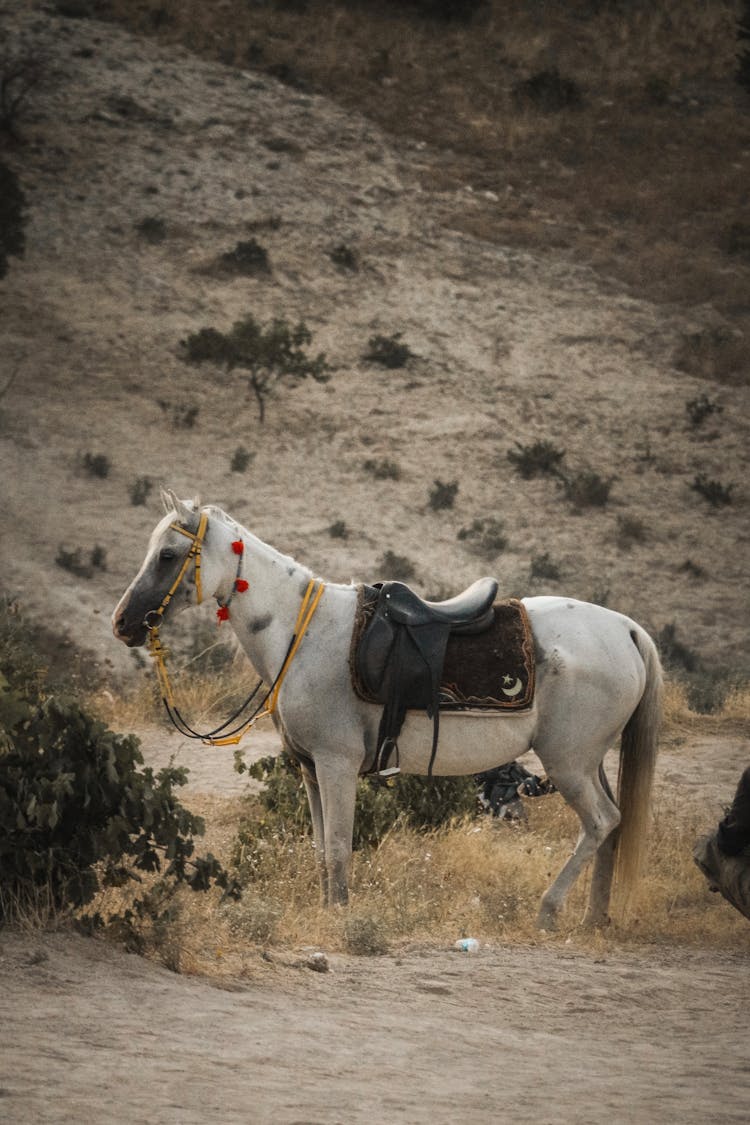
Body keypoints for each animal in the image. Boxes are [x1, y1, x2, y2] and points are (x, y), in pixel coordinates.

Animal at [113, 492, 661, 931]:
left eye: (167, 554)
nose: (123, 624)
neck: (301, 633)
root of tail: (626, 629)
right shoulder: (310, 770)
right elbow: (320, 850)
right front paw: (327, 910)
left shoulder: (336, 765)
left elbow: (338, 848)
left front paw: (340, 917)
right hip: (587, 762)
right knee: (613, 824)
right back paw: (593, 918)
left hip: (567, 763)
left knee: (601, 821)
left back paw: (549, 911)